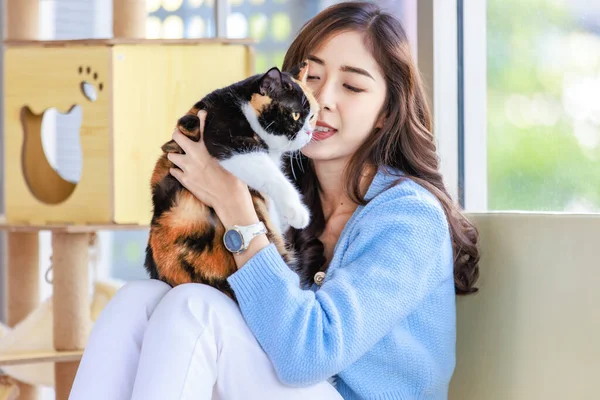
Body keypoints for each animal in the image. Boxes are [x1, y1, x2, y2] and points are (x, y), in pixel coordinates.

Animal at [144, 61, 318, 300]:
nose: (309, 133)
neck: (240, 106)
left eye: (312, 116)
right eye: (294, 115)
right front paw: (297, 211)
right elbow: (270, 173)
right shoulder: (226, 139)